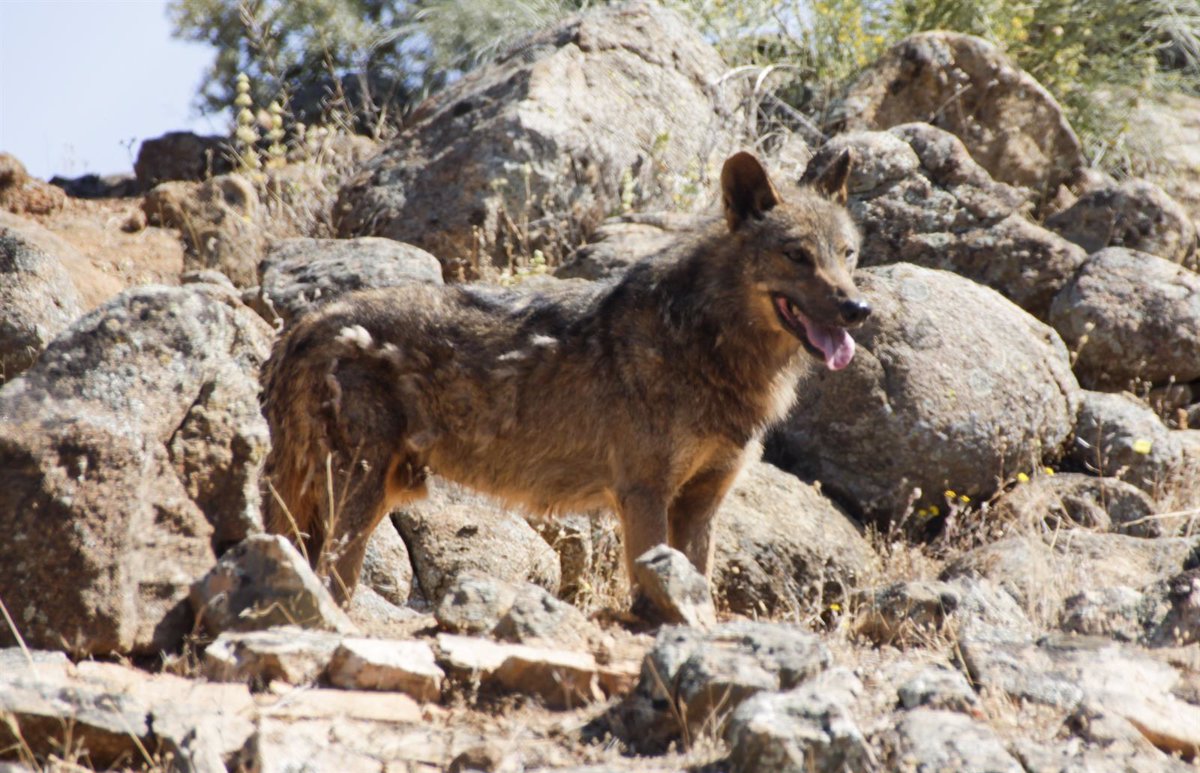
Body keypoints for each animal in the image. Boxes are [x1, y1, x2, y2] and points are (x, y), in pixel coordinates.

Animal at [260, 151, 873, 607]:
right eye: (796, 255)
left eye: (848, 254)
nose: (858, 308)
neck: (707, 345)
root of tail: (301, 327)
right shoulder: (643, 495)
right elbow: (652, 597)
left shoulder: (700, 503)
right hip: (357, 499)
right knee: (331, 584)